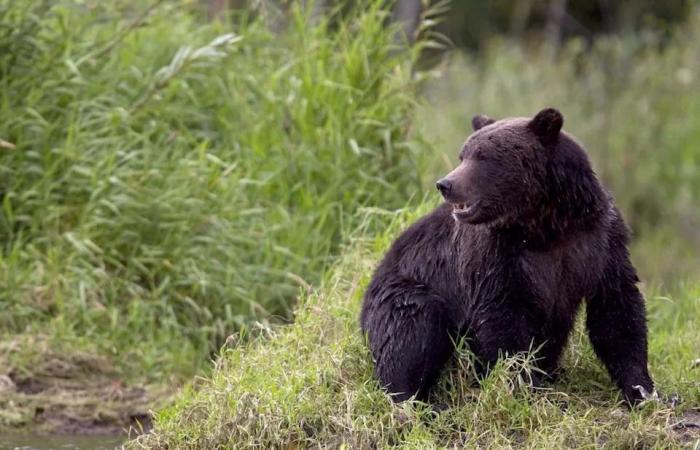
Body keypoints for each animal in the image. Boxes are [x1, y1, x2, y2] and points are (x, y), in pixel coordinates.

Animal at [360, 108, 655, 405]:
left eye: (482, 156)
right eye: (463, 155)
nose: (445, 184)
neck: (544, 225)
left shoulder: (597, 240)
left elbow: (616, 309)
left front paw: (642, 389)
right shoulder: (496, 254)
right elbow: (503, 319)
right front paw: (526, 386)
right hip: (404, 290)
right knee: (411, 329)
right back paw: (415, 399)